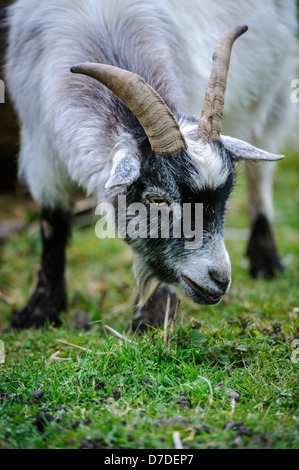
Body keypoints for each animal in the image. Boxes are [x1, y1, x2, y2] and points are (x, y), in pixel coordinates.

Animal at [3, 0, 298, 328]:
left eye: (226, 194)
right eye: (157, 199)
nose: (220, 279)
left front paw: (154, 315)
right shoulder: (41, 150)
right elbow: (51, 223)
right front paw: (40, 309)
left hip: (274, 90)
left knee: (262, 174)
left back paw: (265, 259)